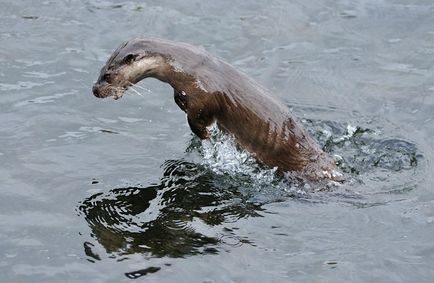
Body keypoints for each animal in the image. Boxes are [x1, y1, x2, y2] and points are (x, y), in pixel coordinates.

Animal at [92, 37, 342, 181]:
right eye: (100, 71)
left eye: (107, 76)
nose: (94, 90)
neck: (186, 67)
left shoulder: (203, 94)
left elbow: (198, 118)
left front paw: (205, 134)